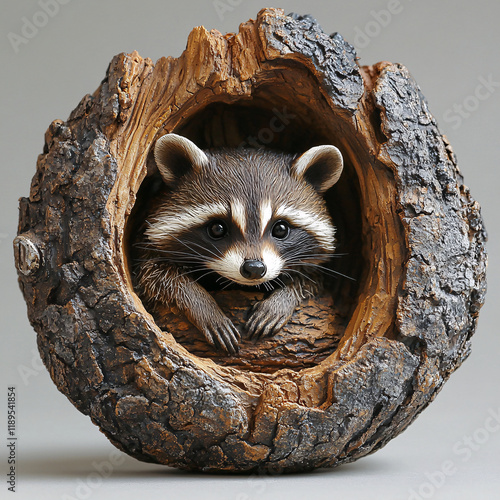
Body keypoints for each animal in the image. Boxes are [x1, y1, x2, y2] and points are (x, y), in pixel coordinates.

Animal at [134, 133, 344, 352]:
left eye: (281, 229)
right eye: (217, 228)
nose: (254, 268)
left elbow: (312, 278)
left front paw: (281, 300)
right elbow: (156, 276)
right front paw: (202, 306)